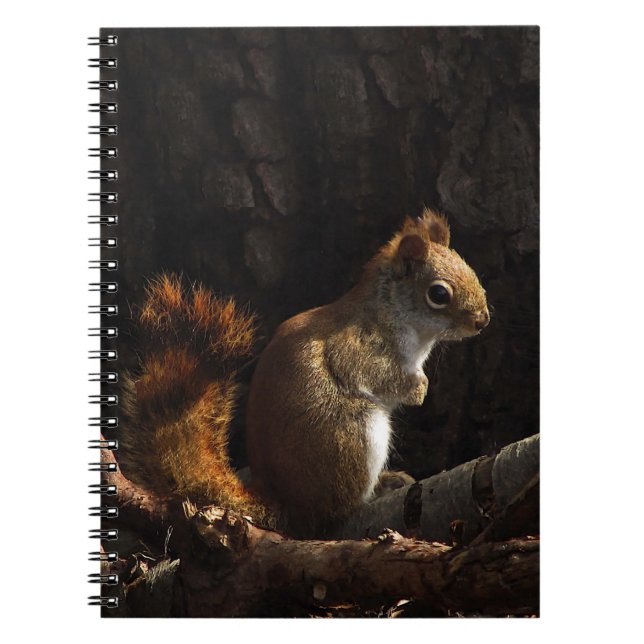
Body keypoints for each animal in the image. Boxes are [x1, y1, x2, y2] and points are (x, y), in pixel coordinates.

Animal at [119, 208, 489, 537]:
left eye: (471, 269)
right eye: (438, 294)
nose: (483, 320)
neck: (394, 314)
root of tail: (289, 507)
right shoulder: (357, 347)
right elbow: (375, 374)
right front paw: (418, 388)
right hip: (353, 436)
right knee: (337, 509)